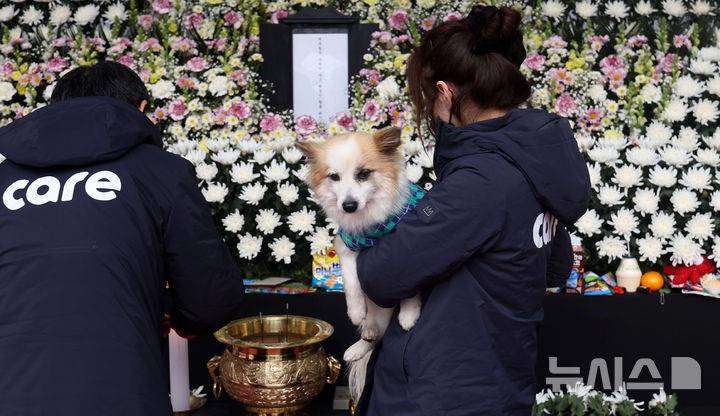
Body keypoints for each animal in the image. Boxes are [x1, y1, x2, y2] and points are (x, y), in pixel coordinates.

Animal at [298, 128, 422, 402]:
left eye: (363, 174)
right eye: (334, 177)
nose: (349, 205)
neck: (370, 229)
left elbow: (409, 281)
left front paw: (409, 314)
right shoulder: (346, 246)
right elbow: (351, 280)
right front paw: (355, 311)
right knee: (374, 335)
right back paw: (359, 345)